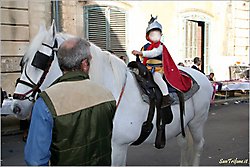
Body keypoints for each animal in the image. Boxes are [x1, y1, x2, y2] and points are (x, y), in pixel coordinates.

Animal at [11, 23, 213, 166]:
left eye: (39, 61)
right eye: (22, 62)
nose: (17, 106)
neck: (112, 92)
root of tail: (202, 77)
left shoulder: (118, 147)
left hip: (197, 122)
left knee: (198, 145)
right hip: (183, 125)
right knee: (184, 145)